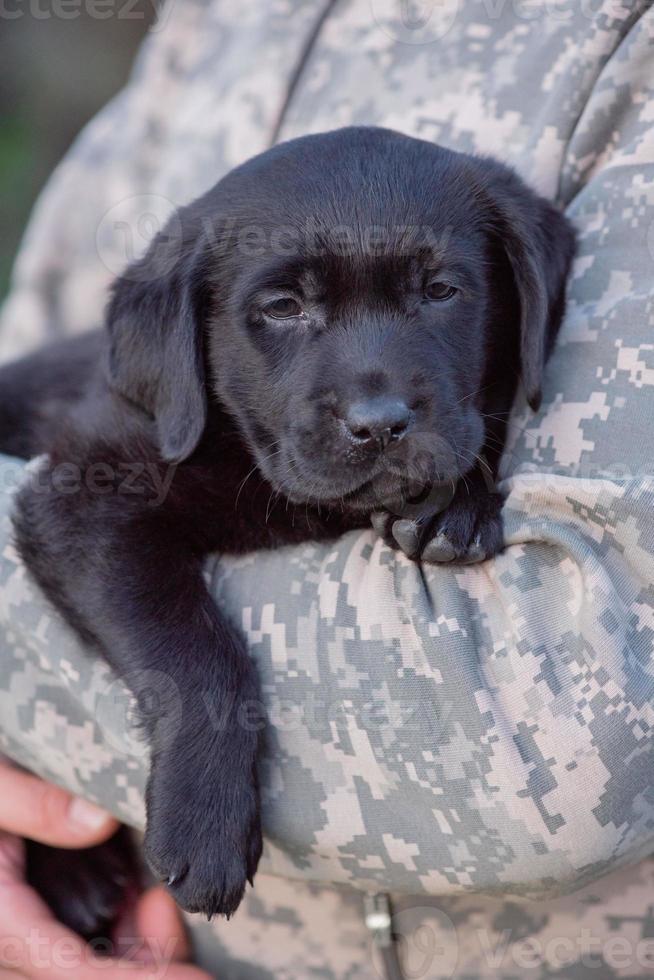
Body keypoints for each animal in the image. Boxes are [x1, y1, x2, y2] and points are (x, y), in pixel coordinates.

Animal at [0, 126, 576, 932]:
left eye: (440, 291)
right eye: (282, 307)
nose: (381, 424)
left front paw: (456, 502)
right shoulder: (80, 496)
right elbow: (197, 652)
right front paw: (203, 826)